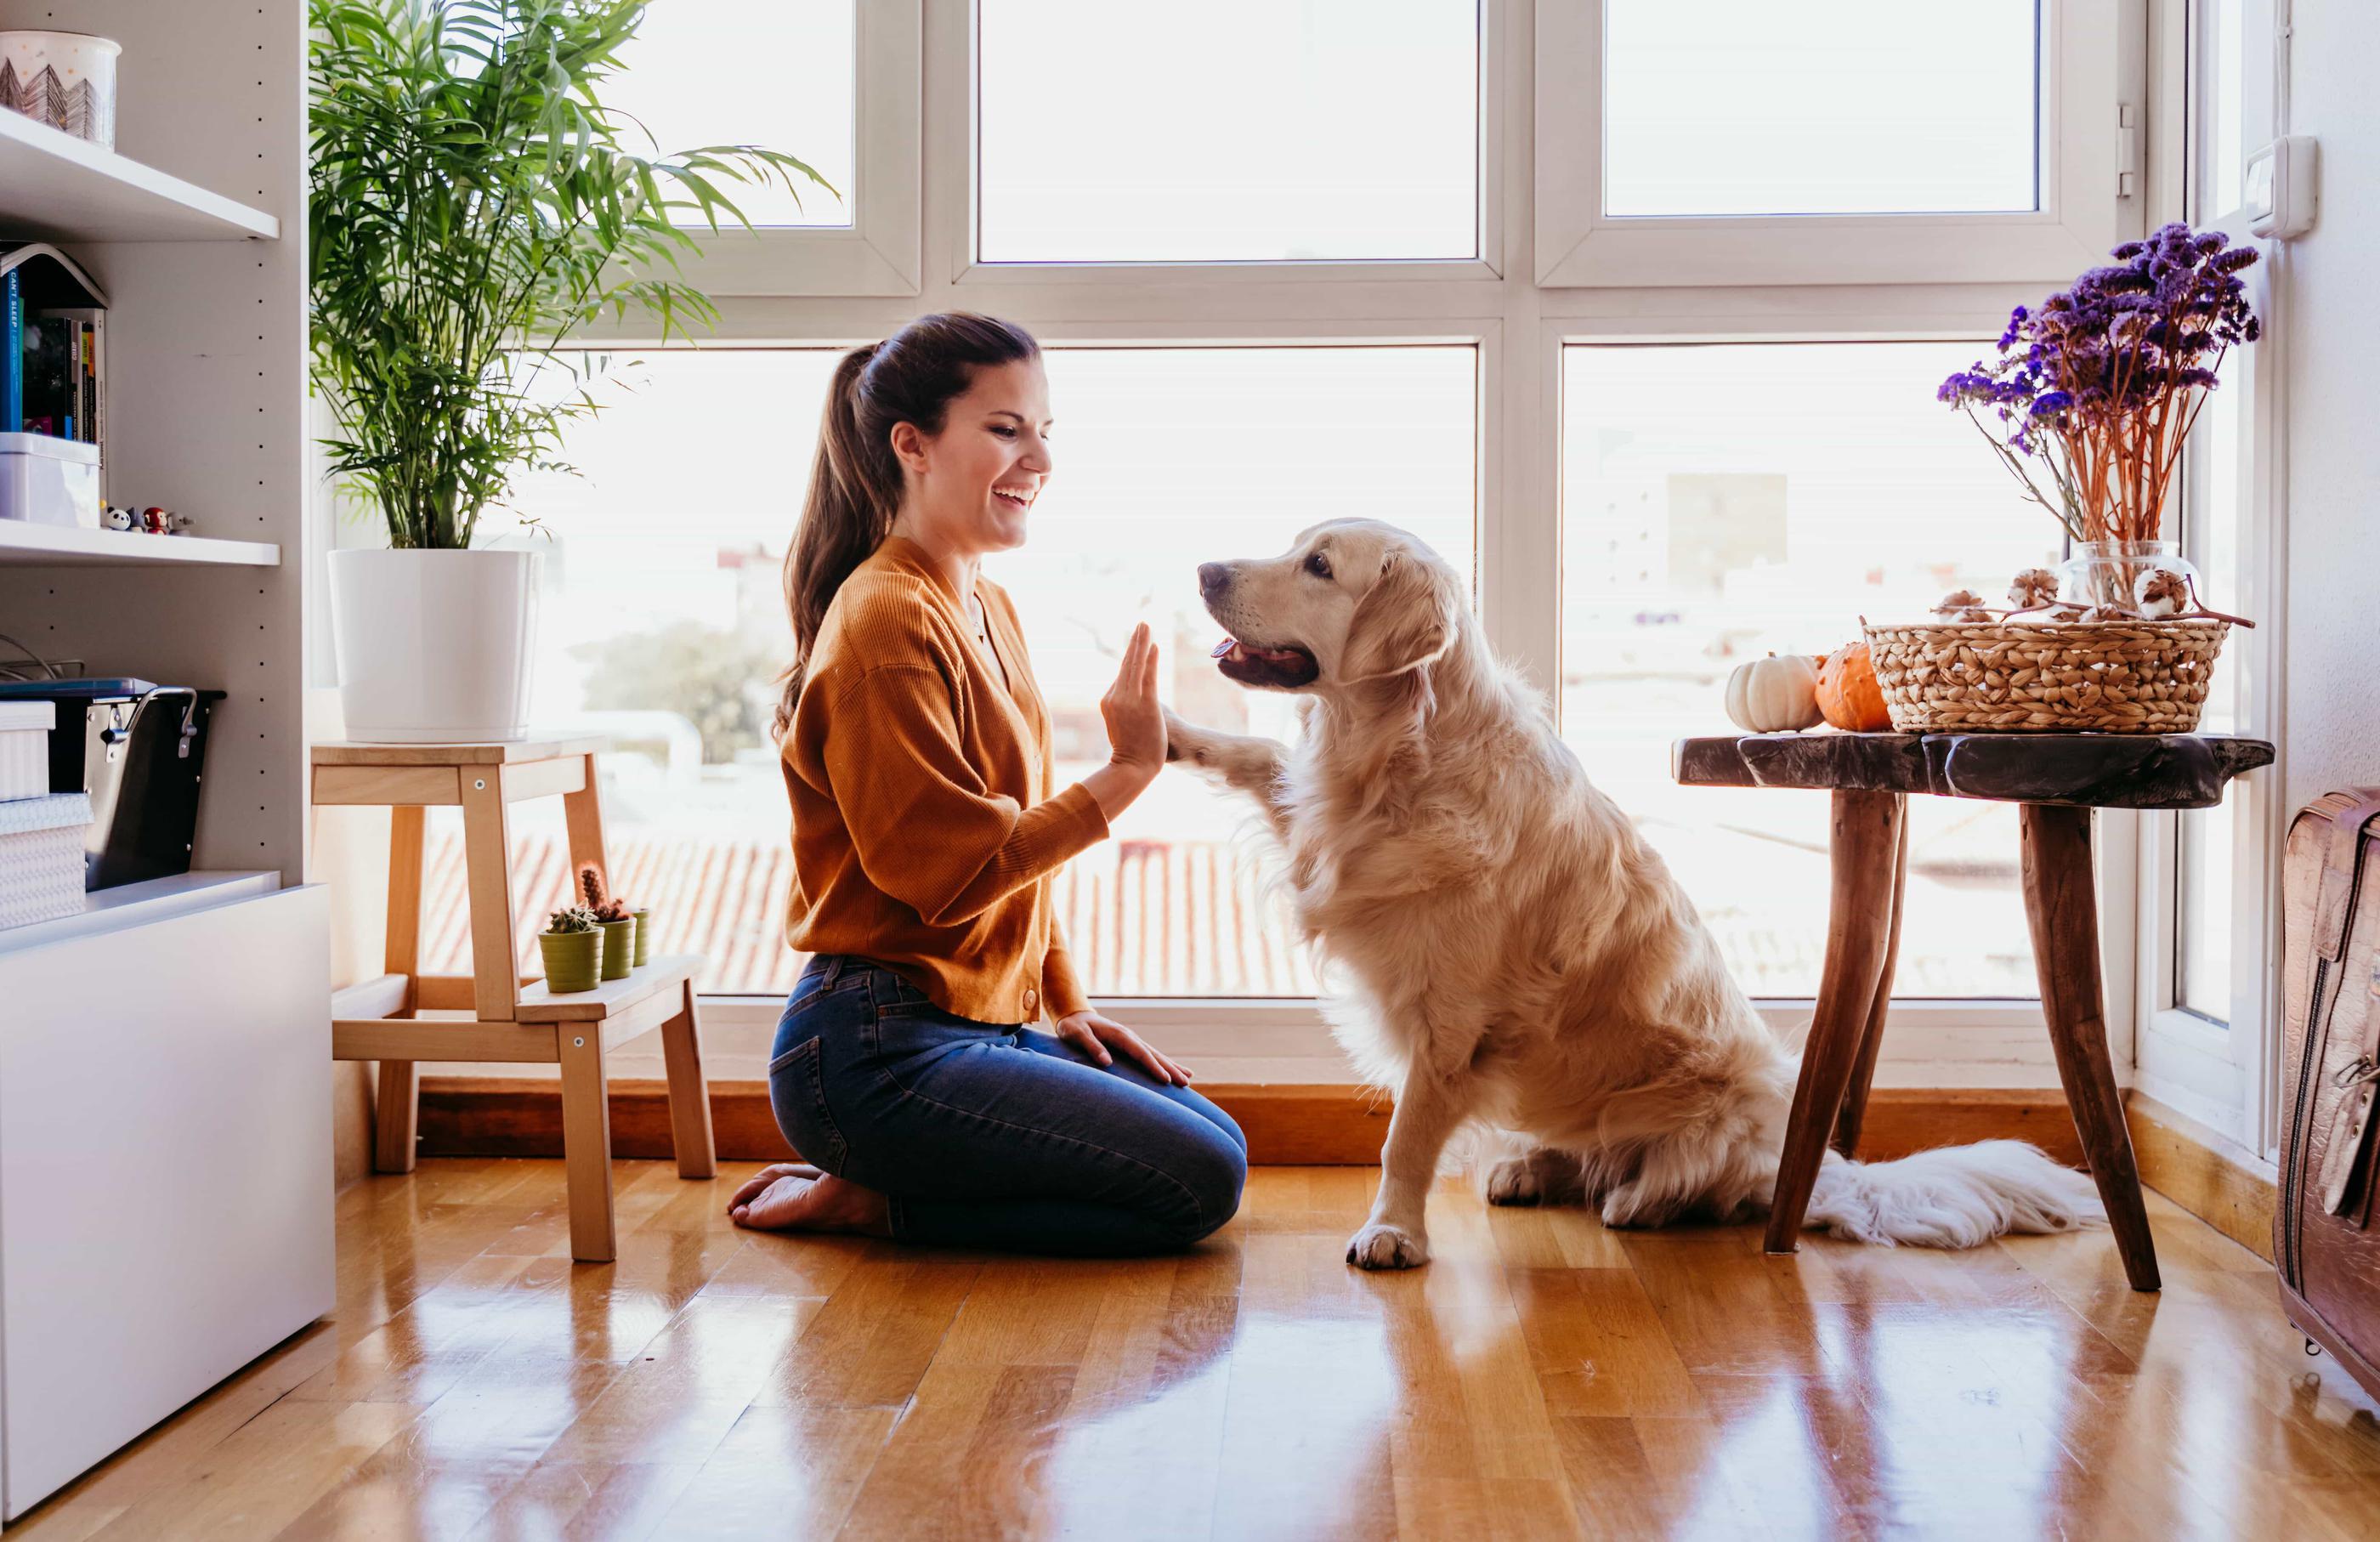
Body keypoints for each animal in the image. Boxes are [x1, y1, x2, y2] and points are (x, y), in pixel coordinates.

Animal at [1161, 523, 2094, 1275]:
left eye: (1318, 565)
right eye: (1294, 547)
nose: (1202, 569)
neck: (1396, 756)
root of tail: (1809, 1161)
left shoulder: (1449, 1023)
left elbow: (1406, 1139)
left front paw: (1391, 1232)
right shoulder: (1323, 830)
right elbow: (1256, 755)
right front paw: (1167, 729)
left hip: (1719, 1103)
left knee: (1697, 1182)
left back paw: (1638, 1199)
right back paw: (1531, 1169)